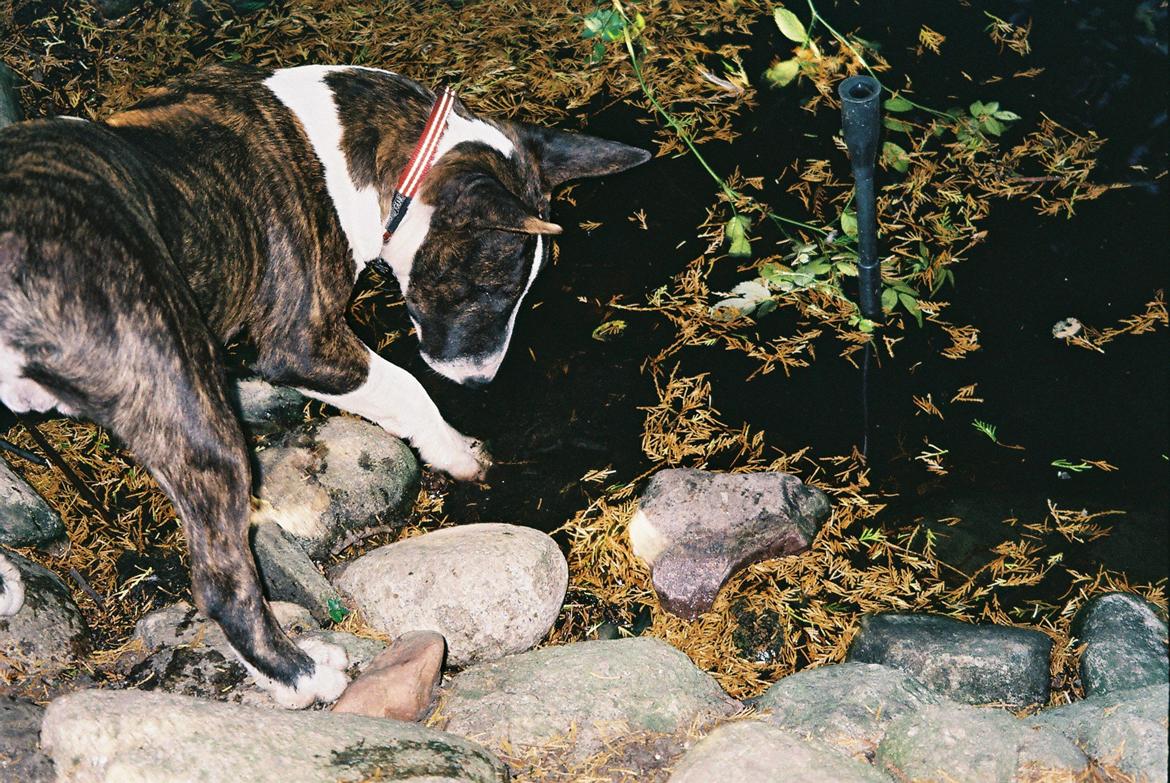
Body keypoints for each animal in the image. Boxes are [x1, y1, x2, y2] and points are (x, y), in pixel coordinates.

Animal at [0, 64, 650, 706]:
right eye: (490, 287)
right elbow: (406, 388)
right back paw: (304, 674)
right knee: (220, 583)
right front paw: (457, 452)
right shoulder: (303, 343)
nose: (481, 380)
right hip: (192, 414)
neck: (348, 155)